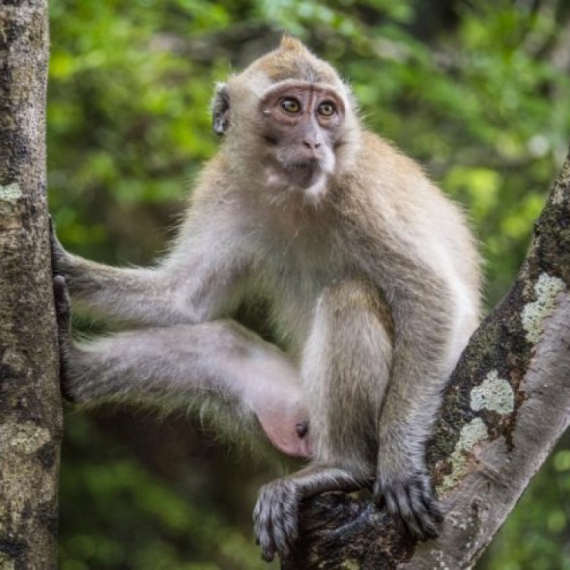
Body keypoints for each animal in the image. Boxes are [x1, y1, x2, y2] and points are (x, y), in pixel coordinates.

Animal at [50, 37, 480, 560]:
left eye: (327, 110)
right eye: (291, 106)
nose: (315, 142)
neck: (295, 194)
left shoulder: (363, 192)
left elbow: (432, 297)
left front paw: (400, 462)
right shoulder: (224, 186)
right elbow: (184, 299)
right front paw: (59, 261)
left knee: (350, 296)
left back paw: (345, 466)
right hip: (290, 405)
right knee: (214, 344)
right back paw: (73, 368)